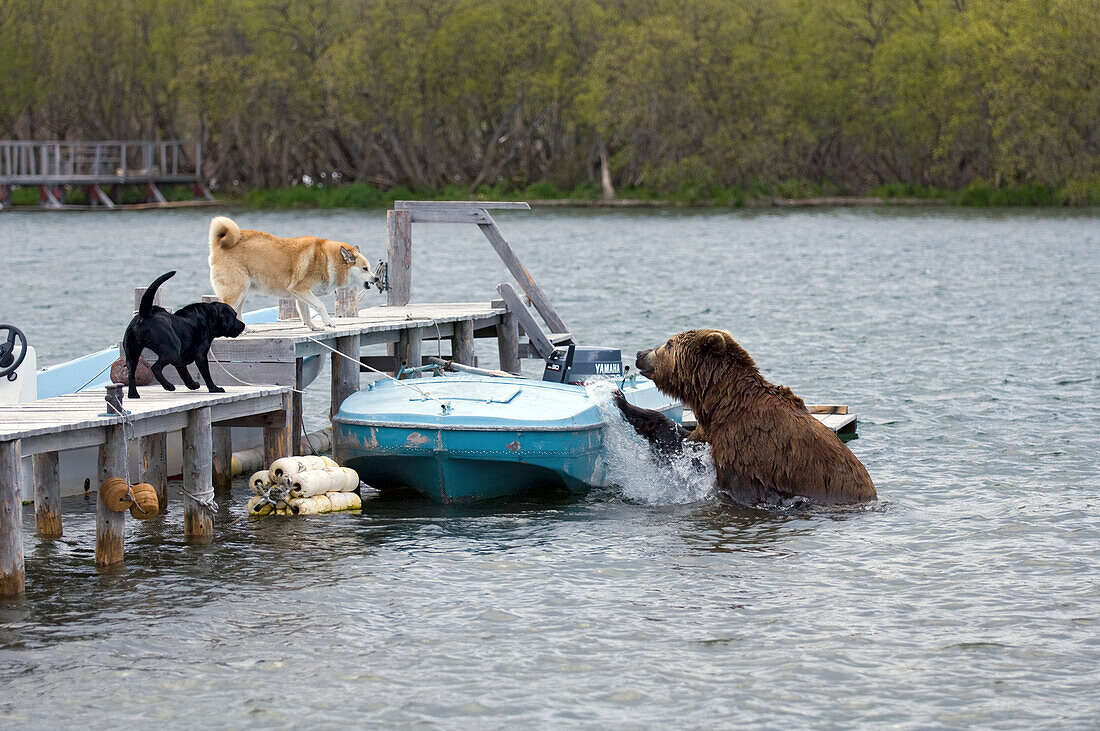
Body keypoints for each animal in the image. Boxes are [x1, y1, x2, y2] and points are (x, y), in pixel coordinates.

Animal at [206, 215, 378, 329]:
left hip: (243, 292)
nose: (376, 279)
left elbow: (306, 313)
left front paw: (314, 328)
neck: (327, 260)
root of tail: (218, 243)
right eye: (365, 268)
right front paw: (329, 322)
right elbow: (320, 305)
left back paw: (246, 330)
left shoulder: (300, 294)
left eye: (369, 268)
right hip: (236, 291)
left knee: (238, 313)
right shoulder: (301, 289)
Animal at [620, 327, 875, 505]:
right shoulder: (710, 430)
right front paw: (624, 402)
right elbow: (680, 442)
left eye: (669, 343)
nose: (640, 353)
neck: (722, 403)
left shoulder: (745, 448)